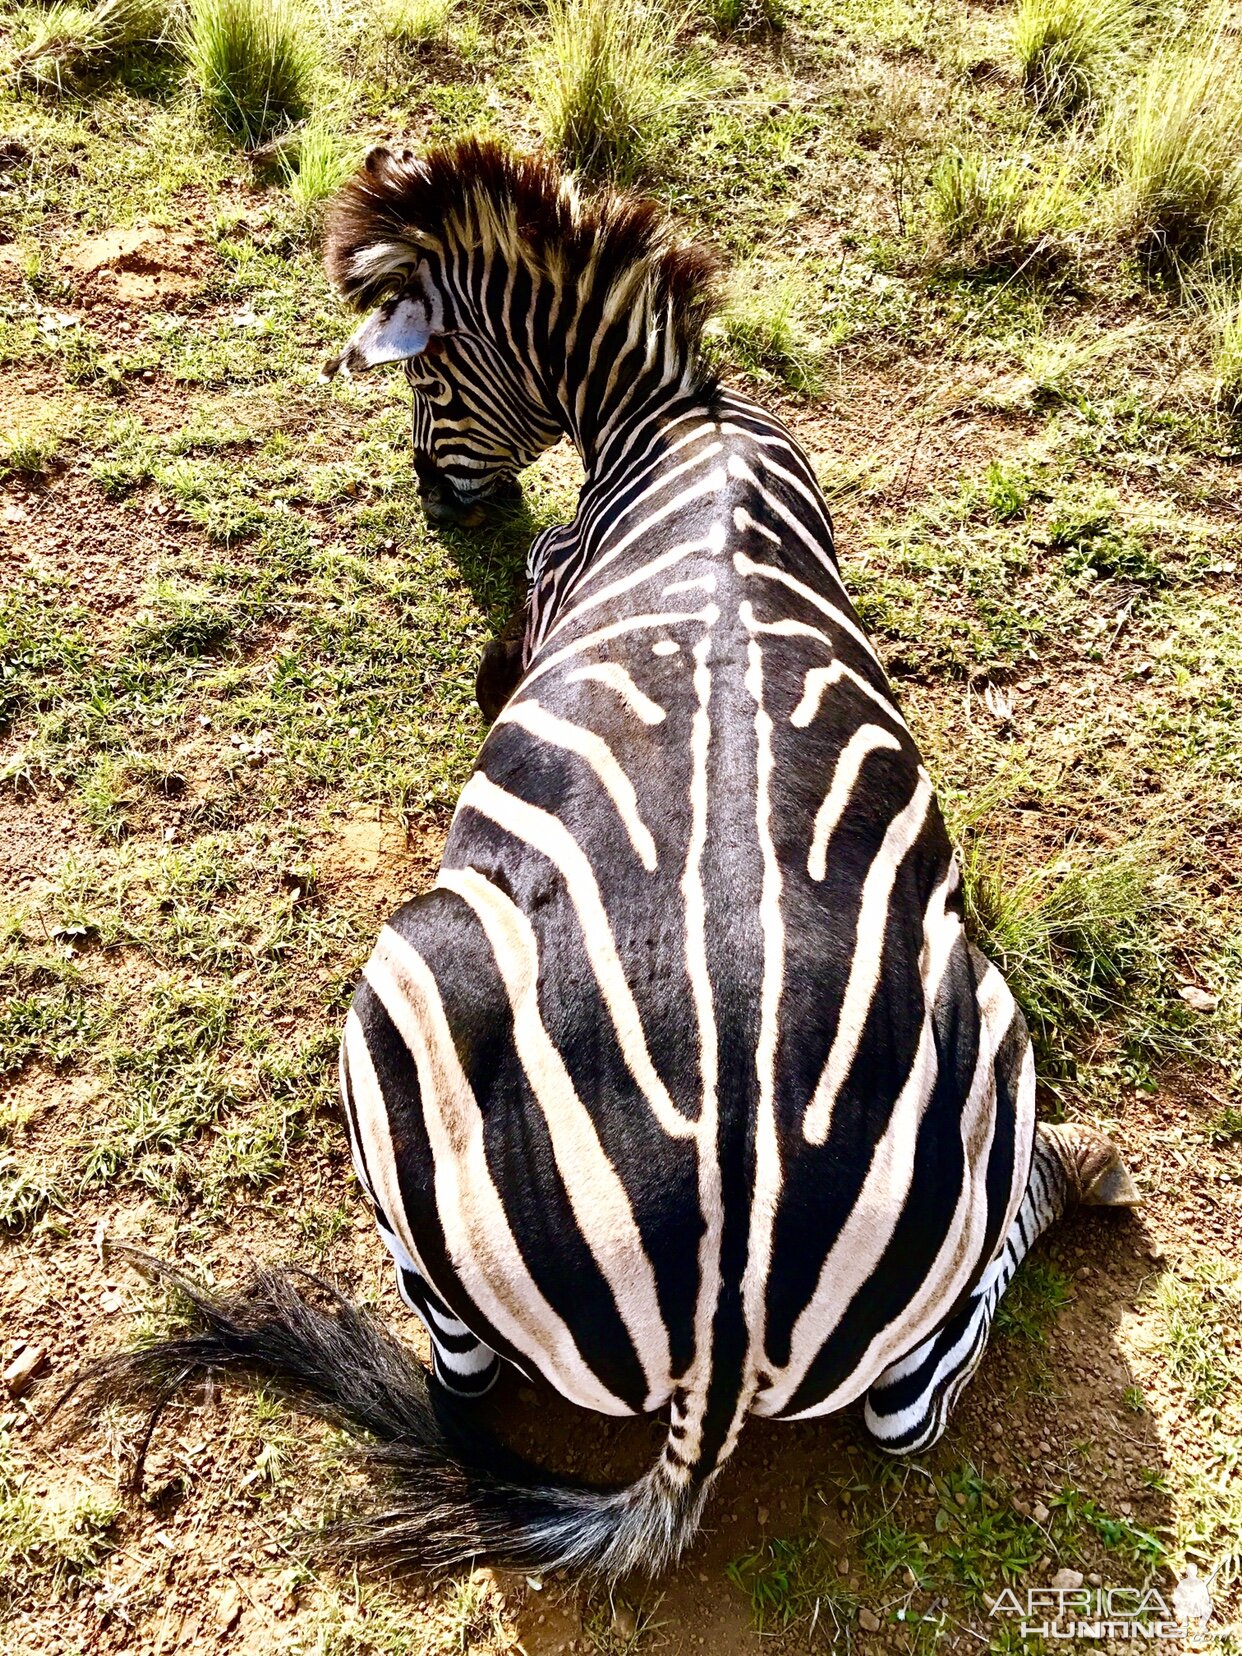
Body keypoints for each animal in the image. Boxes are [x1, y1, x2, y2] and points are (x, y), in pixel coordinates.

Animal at [77, 149, 1145, 1583]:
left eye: (427, 382)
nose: (433, 496)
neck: (680, 416)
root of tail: (720, 1329)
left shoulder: (553, 564)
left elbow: (524, 603)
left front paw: (493, 667)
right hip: (975, 1034)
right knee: (909, 1405)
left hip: (399, 1012)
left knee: (466, 1378)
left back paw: (1083, 1166)